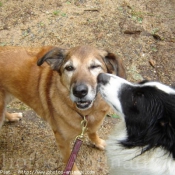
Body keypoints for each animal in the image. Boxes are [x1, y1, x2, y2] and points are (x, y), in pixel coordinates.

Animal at [0, 45, 126, 174]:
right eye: (69, 68)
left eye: (95, 66)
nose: (79, 91)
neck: (84, 113)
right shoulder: (62, 139)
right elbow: (68, 157)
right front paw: (74, 171)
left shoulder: (92, 124)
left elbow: (93, 132)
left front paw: (98, 142)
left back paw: (12, 116)